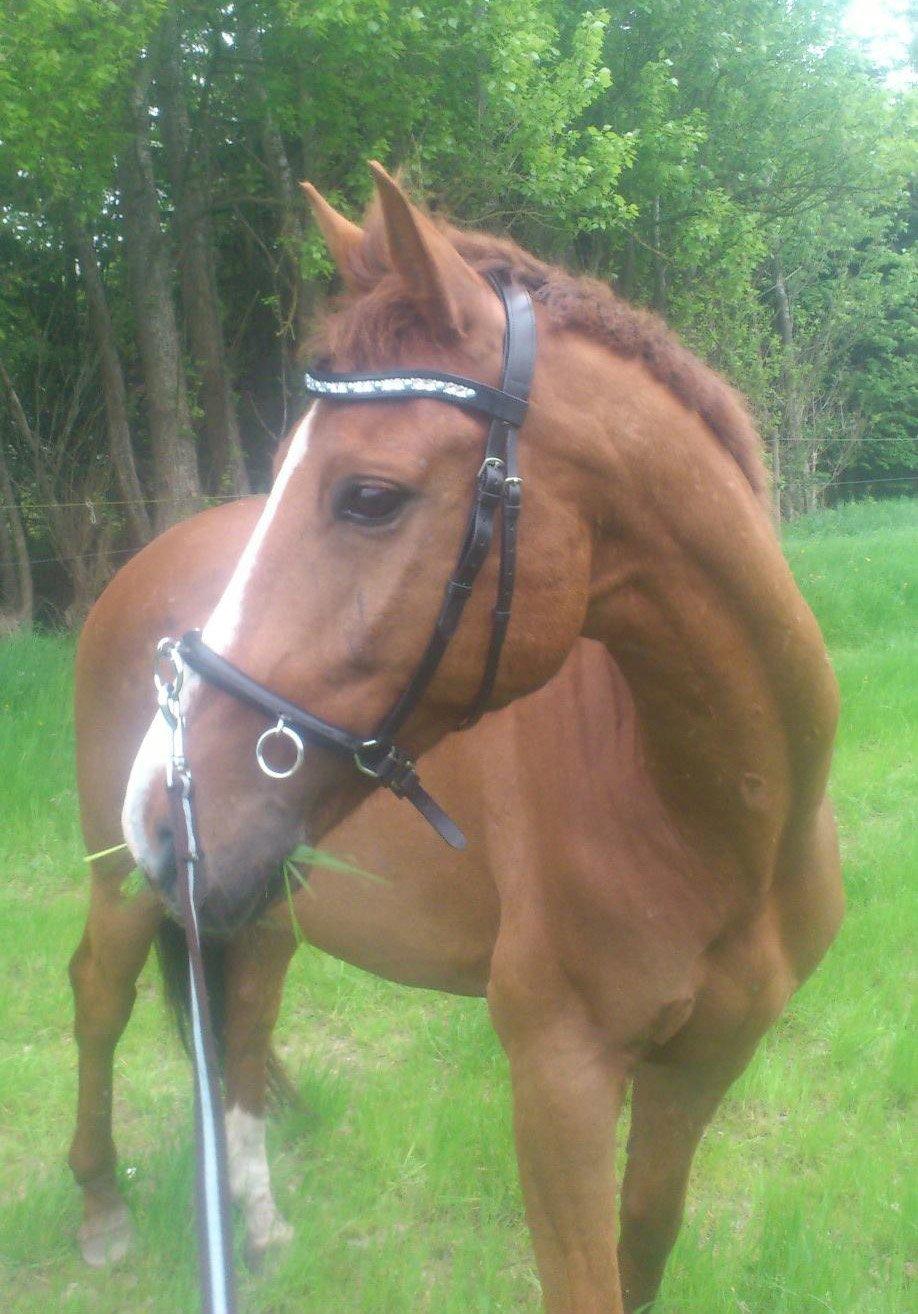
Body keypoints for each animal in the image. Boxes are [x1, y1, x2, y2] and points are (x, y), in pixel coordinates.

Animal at [73, 164, 845, 1314]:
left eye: (369, 497)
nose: (161, 811)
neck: (713, 818)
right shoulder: (559, 1076)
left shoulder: (701, 1067)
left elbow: (644, 1247)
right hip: (129, 888)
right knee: (100, 997)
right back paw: (101, 1211)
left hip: (264, 894)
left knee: (242, 1018)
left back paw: (257, 1222)